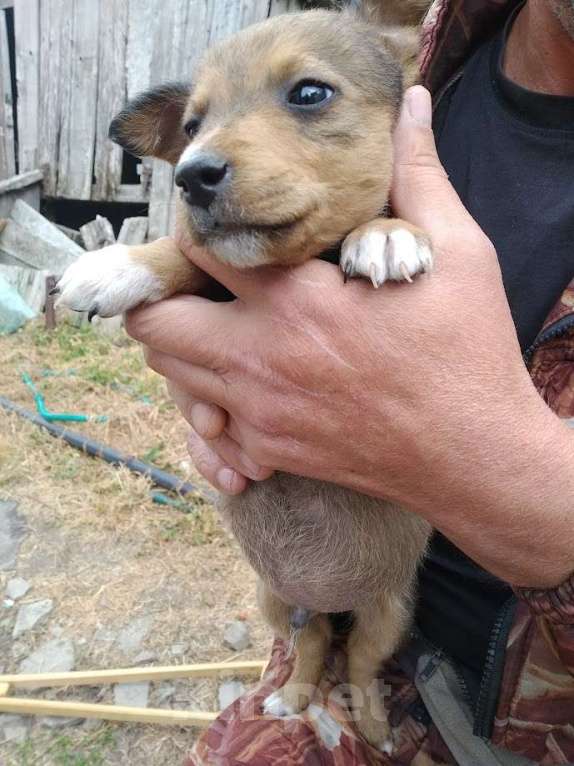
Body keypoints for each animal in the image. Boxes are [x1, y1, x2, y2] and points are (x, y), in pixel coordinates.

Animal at [57, 3, 432, 752]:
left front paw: (386, 233)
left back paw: (374, 727)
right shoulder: (213, 277)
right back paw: (291, 698)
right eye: (192, 126)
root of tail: (327, 597)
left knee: (360, 663)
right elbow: (186, 254)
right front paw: (118, 265)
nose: (190, 176)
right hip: (274, 596)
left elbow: (379, 221)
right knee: (312, 646)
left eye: (310, 93)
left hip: (388, 611)